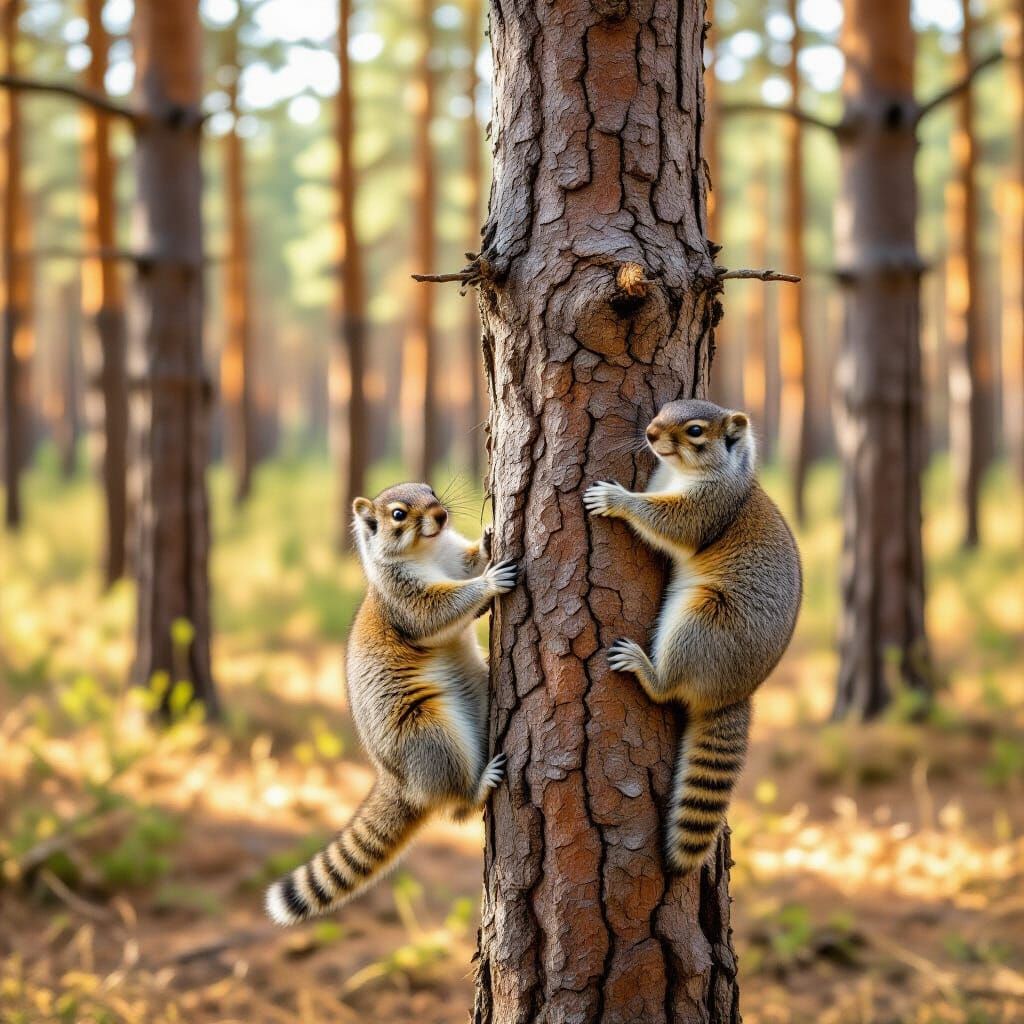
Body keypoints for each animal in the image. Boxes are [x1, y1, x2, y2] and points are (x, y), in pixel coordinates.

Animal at [265, 483, 518, 925]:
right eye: (398, 515)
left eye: (431, 491)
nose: (440, 514)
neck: (426, 550)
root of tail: (399, 784)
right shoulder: (401, 598)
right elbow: (435, 613)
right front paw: (488, 583)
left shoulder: (451, 559)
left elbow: (466, 563)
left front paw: (486, 542)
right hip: (428, 733)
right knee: (456, 805)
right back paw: (478, 785)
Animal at [583, 399, 801, 873]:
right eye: (665, 408)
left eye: (697, 431)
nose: (649, 433)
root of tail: (732, 692)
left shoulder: (710, 508)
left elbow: (672, 522)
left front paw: (616, 499)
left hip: (703, 623)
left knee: (668, 687)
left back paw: (647, 670)